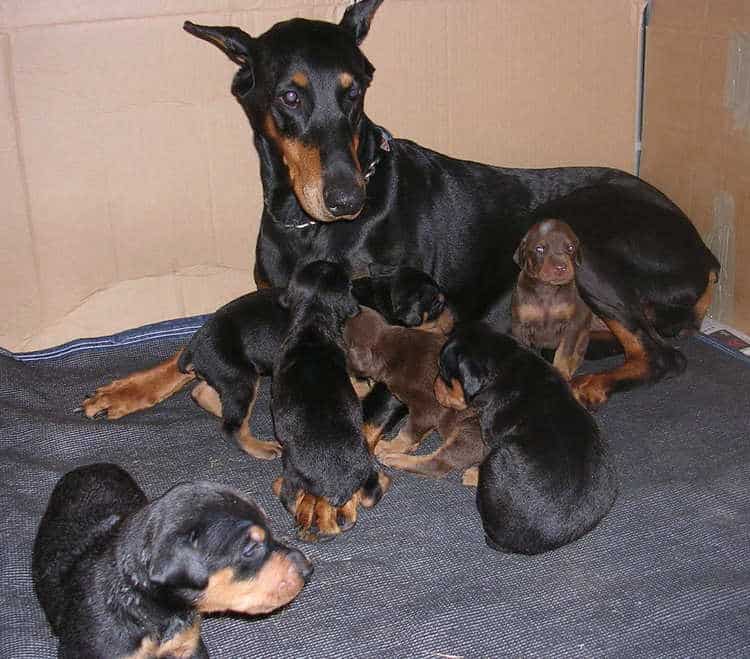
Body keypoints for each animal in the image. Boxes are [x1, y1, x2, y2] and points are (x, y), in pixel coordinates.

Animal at [272, 260, 390, 544]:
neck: (312, 326)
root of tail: (336, 486)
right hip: (366, 472)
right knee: (373, 490)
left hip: (292, 473)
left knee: (288, 496)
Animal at [344, 306, 484, 482]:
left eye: (343, 335)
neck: (391, 346)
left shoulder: (427, 408)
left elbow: (407, 433)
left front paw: (391, 446)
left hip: (467, 432)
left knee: (436, 465)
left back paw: (393, 456)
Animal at [512, 219, 592, 378]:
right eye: (540, 249)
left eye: (570, 247)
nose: (561, 267)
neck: (547, 289)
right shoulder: (520, 327)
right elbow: (526, 351)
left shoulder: (571, 325)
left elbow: (564, 352)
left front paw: (562, 373)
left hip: (584, 328)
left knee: (578, 353)